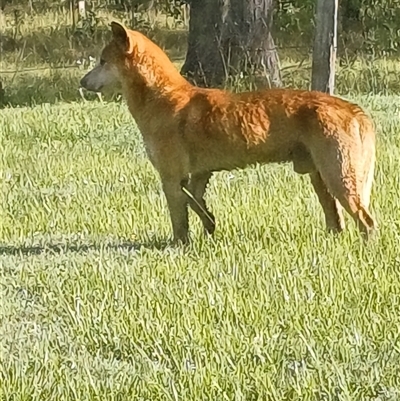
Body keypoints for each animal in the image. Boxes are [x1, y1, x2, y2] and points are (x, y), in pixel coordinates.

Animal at [79, 21, 376, 244]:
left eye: (103, 61)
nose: (81, 81)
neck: (162, 97)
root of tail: (354, 110)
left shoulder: (171, 178)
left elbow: (180, 217)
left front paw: (178, 245)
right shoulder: (198, 175)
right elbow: (195, 202)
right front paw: (209, 225)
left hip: (338, 176)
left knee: (366, 220)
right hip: (320, 178)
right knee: (337, 220)